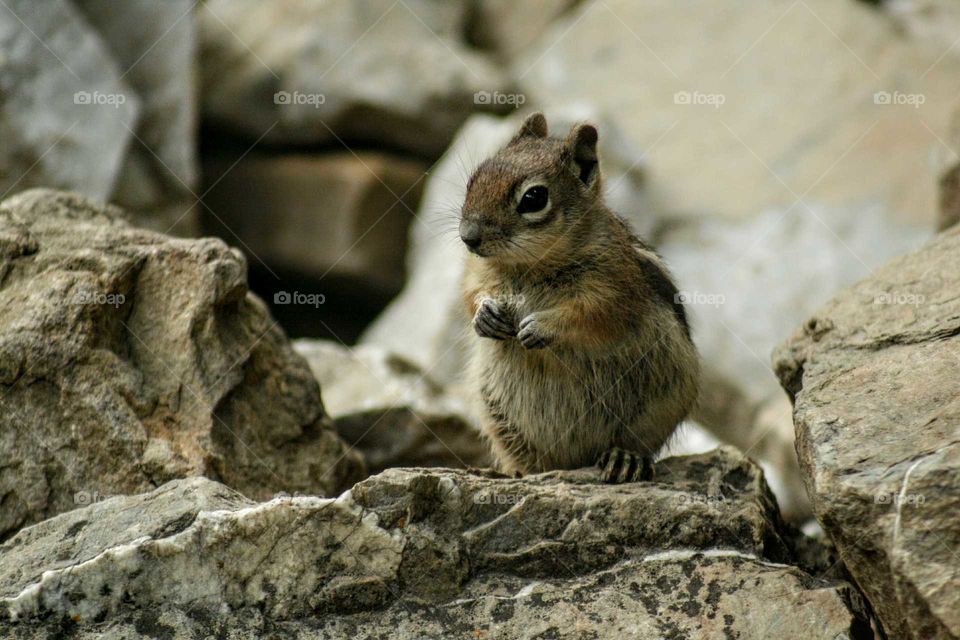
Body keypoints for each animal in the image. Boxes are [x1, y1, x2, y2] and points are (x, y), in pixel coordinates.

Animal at [460, 112, 699, 483]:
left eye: (533, 198)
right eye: (475, 178)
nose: (468, 237)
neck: (529, 267)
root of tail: (571, 461)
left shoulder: (614, 289)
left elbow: (592, 316)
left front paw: (542, 326)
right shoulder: (478, 273)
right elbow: (471, 295)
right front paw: (484, 315)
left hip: (660, 402)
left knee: (636, 443)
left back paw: (624, 459)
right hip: (496, 413)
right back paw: (511, 473)